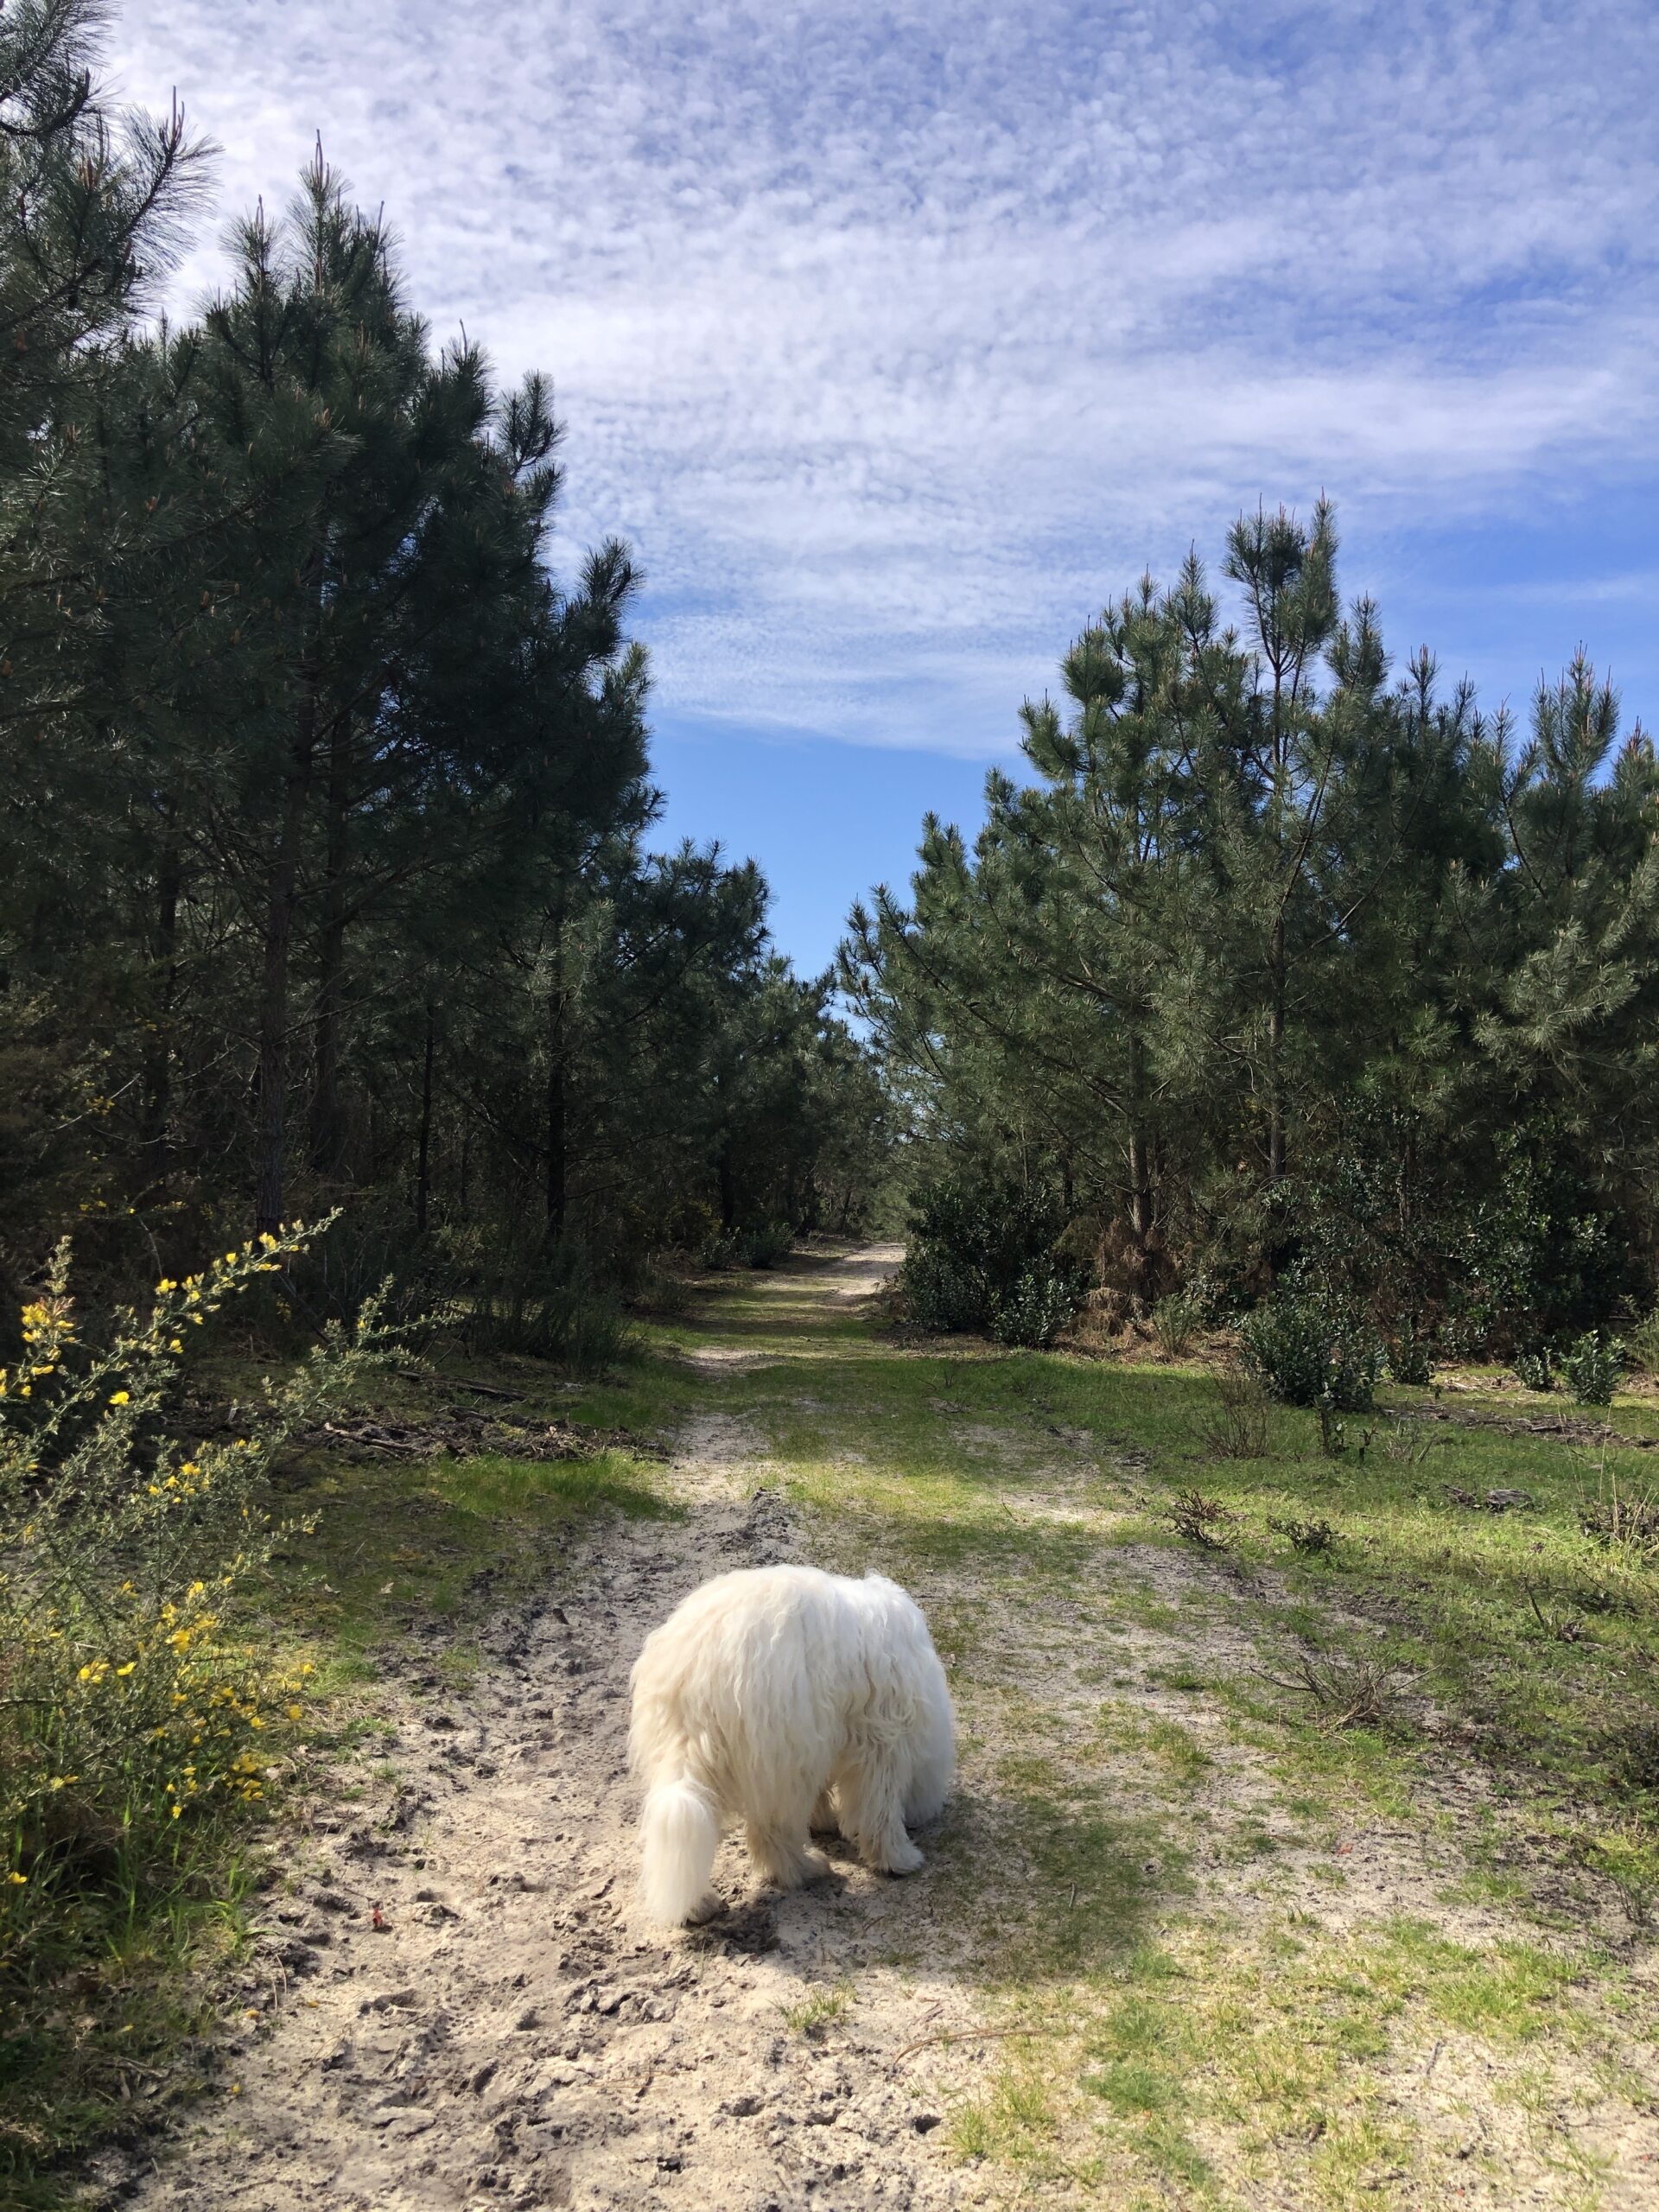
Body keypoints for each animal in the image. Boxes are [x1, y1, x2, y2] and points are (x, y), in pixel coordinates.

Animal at [628, 1566, 960, 1929]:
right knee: (771, 1833)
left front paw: (824, 1820)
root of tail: (696, 1677)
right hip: (778, 1756)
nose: (928, 1816)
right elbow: (879, 1809)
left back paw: (697, 1905)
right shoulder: (881, 1743)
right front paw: (898, 1858)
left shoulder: (825, 1738)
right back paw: (805, 1869)